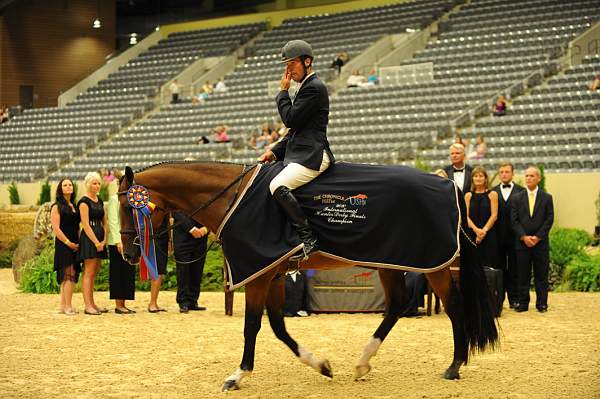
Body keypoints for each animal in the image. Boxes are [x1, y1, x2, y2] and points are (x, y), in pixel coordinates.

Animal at [116, 161, 496, 392]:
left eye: (127, 207)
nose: (129, 254)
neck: (232, 199)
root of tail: (446, 184)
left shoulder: (258, 276)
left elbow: (252, 325)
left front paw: (238, 375)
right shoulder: (271, 275)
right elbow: (278, 327)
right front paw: (321, 366)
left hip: (433, 266)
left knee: (454, 307)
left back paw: (454, 366)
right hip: (391, 263)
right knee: (398, 306)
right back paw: (363, 363)